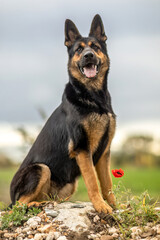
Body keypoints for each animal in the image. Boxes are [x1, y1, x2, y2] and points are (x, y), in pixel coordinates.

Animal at [10, 14, 115, 214]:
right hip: (41, 169)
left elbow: (107, 185)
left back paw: (44, 203)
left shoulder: (104, 153)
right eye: (79, 49)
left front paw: (115, 205)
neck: (93, 97)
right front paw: (100, 206)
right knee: (17, 206)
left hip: (68, 185)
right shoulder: (82, 148)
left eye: (95, 47)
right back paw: (34, 205)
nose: (88, 55)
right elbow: (93, 182)